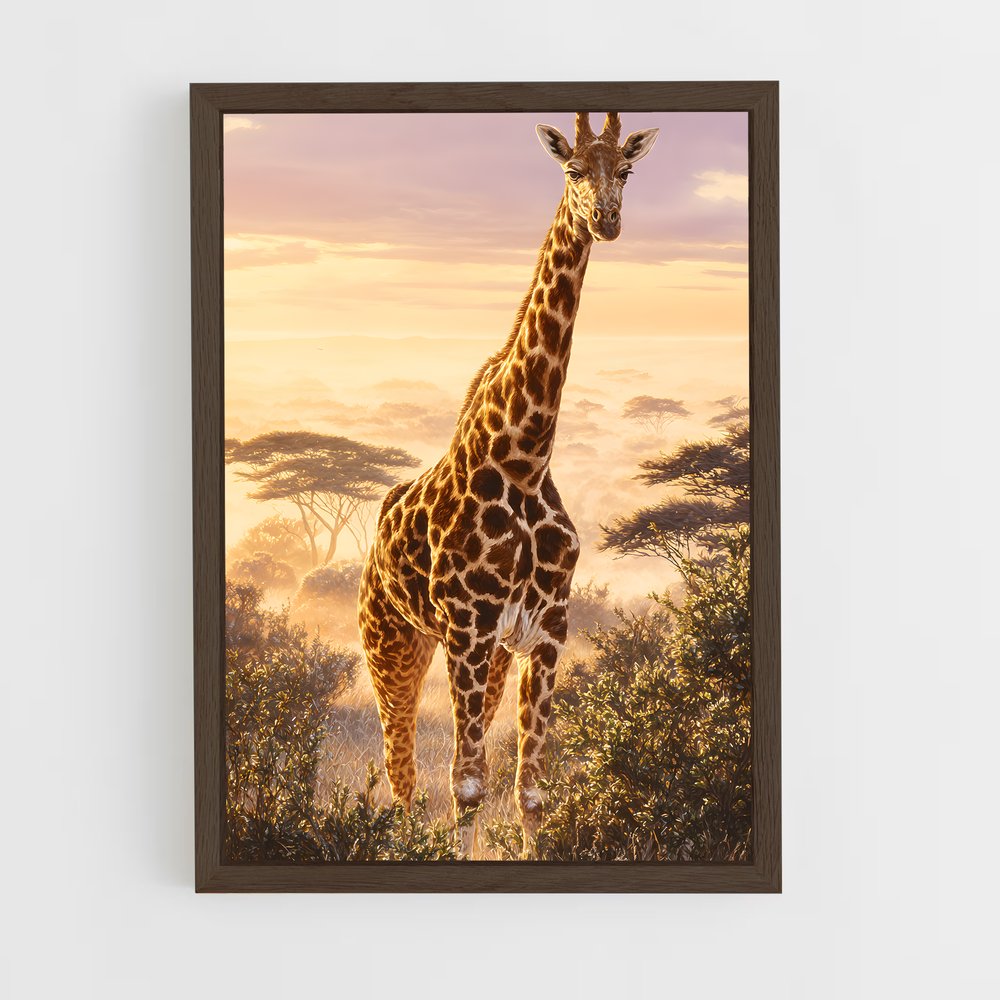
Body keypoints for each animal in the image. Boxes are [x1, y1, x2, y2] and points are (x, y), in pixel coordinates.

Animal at [358, 111, 659, 858]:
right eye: (573, 170)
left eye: (626, 169)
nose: (606, 220)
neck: (524, 460)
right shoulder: (467, 631)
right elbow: (466, 786)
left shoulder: (546, 632)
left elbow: (530, 791)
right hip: (393, 644)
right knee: (402, 771)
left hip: (486, 659)